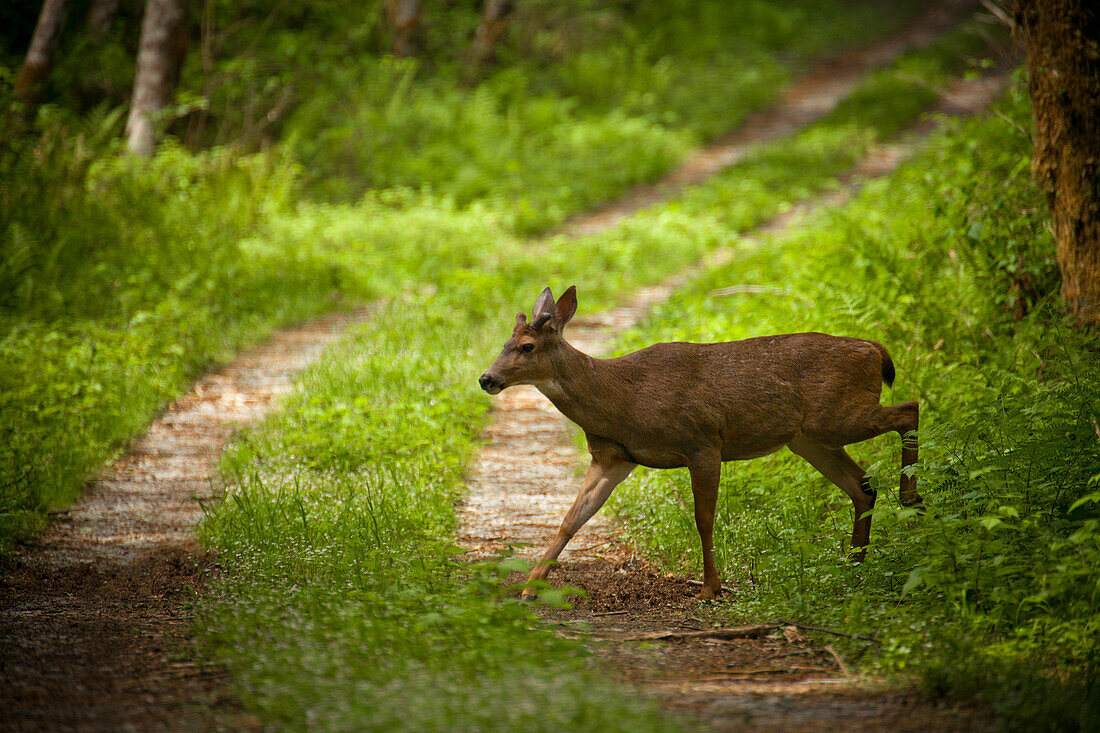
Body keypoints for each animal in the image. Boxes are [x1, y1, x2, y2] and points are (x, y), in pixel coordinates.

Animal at [477, 281, 924, 598]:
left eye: (526, 346)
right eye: (503, 343)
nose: (486, 378)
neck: (622, 400)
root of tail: (876, 350)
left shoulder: (703, 441)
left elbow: (704, 518)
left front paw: (710, 587)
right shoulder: (613, 457)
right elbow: (571, 519)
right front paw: (530, 587)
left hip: (836, 417)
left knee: (909, 408)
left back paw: (911, 499)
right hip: (809, 438)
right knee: (863, 486)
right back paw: (855, 564)